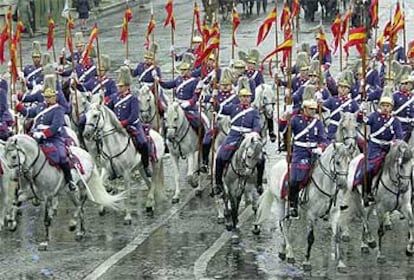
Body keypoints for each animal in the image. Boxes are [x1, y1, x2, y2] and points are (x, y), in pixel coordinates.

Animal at [256, 142, 352, 272]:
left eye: (349, 162)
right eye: (337, 162)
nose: (343, 184)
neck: (325, 184)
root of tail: (276, 166)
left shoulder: (335, 214)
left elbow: (337, 236)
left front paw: (341, 263)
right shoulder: (312, 214)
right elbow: (310, 238)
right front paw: (307, 262)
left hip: (292, 209)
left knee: (287, 224)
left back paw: (283, 250)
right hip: (280, 202)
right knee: (283, 225)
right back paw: (290, 254)